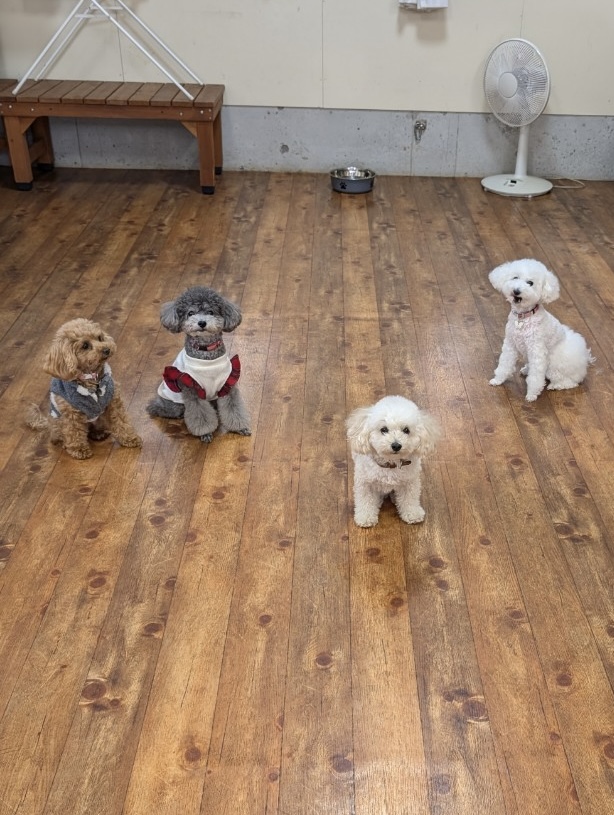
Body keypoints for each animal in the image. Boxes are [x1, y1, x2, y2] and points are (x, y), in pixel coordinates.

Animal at [26, 318, 142, 459]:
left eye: (100, 338)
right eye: (85, 345)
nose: (107, 349)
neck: (92, 378)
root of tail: (48, 423)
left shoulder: (113, 402)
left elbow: (121, 421)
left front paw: (130, 438)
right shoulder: (71, 414)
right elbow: (74, 432)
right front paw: (79, 449)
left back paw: (99, 433)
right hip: (57, 421)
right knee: (59, 436)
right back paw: (64, 443)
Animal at [146, 286, 251, 442]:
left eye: (210, 312)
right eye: (190, 313)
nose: (202, 322)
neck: (206, 353)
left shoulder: (227, 384)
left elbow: (234, 408)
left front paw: (240, 427)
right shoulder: (192, 388)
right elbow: (200, 415)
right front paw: (205, 433)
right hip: (173, 403)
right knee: (161, 408)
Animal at [346, 395, 441, 527]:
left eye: (406, 430)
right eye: (384, 429)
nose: (396, 445)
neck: (391, 464)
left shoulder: (409, 483)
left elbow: (409, 499)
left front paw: (413, 513)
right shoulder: (365, 484)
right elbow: (366, 500)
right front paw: (365, 517)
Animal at [489, 259, 594, 402]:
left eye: (530, 283)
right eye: (515, 277)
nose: (516, 291)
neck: (524, 317)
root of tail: (584, 359)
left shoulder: (537, 351)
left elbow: (535, 377)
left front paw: (531, 394)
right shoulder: (510, 345)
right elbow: (504, 364)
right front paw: (498, 380)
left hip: (554, 366)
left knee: (571, 382)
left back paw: (556, 385)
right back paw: (526, 369)